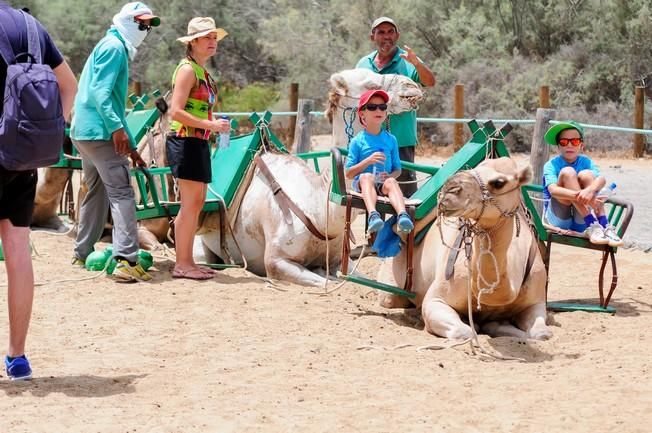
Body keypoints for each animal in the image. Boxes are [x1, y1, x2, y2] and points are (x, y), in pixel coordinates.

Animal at [380, 157, 552, 340]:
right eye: (474, 167)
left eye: (499, 183)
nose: (449, 191)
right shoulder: (435, 299)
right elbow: (465, 331)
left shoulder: (536, 301)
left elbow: (541, 334)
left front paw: (497, 325)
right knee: (390, 298)